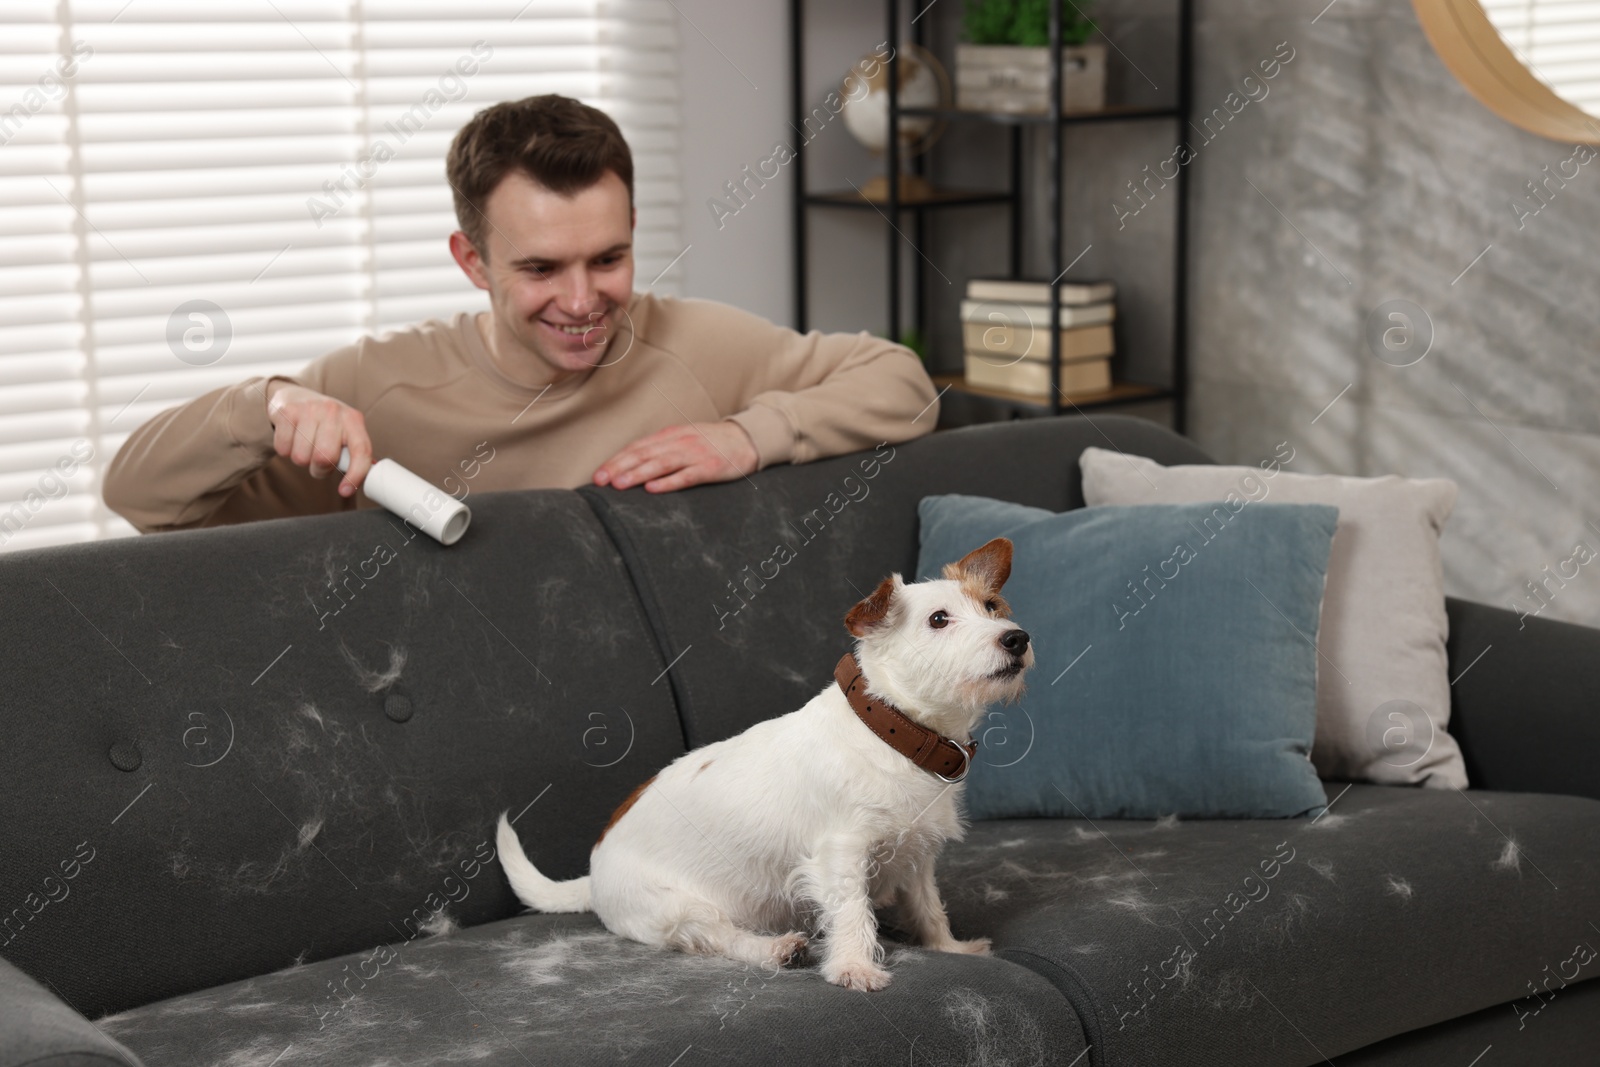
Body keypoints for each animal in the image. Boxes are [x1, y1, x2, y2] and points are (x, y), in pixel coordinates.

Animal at [492, 537, 1030, 991]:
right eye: (939, 620)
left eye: (991, 607)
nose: (1017, 638)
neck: (894, 731)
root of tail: (593, 873)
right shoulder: (841, 854)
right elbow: (851, 911)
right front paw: (854, 967)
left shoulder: (917, 856)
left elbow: (928, 907)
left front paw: (948, 948)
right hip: (676, 907)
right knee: (714, 938)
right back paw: (774, 950)